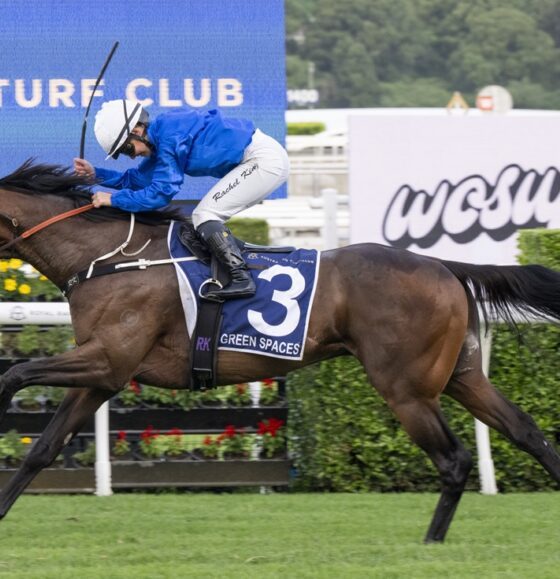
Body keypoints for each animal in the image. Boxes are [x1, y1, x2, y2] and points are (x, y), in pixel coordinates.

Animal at [0, 160, 558, 543]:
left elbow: (15, 375)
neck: (109, 259)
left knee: (455, 458)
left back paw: (431, 540)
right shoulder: (100, 375)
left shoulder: (109, 360)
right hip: (461, 375)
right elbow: (43, 447)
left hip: (407, 390)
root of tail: (443, 265)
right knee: (527, 431)